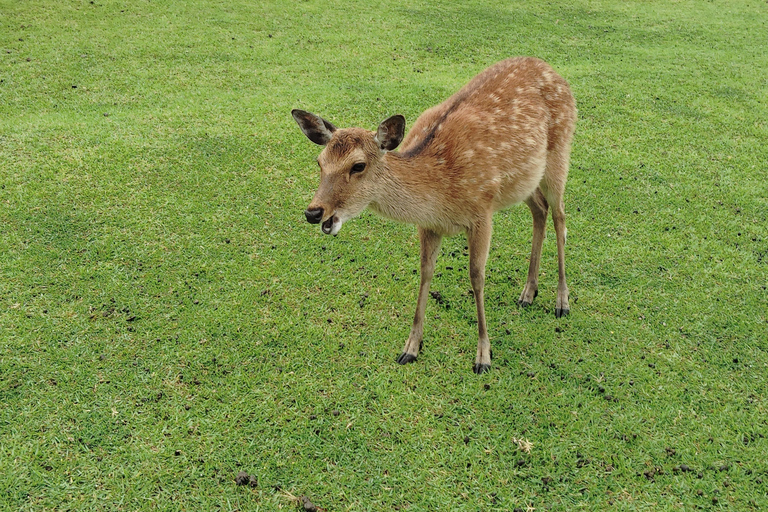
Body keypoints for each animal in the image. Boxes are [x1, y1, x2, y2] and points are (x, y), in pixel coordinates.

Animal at [292, 56, 576, 374]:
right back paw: (528, 293)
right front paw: (410, 348)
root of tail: (551, 70)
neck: (440, 193)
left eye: (358, 165)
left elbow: (476, 276)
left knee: (560, 216)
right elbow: (426, 271)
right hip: (525, 180)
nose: (314, 212)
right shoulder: (428, 224)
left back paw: (561, 301)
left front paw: (483, 356)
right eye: (320, 162)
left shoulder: (482, 210)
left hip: (560, 151)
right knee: (540, 210)